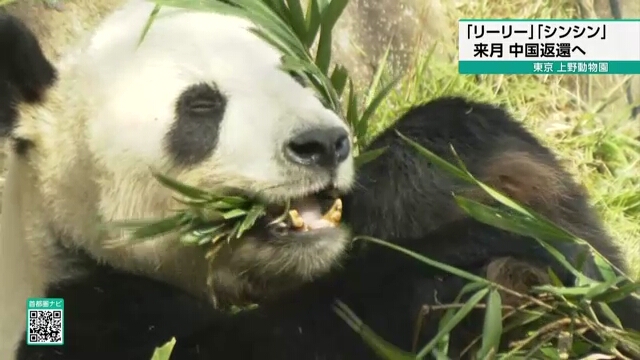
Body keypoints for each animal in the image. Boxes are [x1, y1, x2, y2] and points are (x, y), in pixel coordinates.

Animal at [1, 1, 640, 358]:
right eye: (202, 106)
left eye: (297, 74)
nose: (323, 144)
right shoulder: (87, 314)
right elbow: (280, 341)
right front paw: (478, 255)